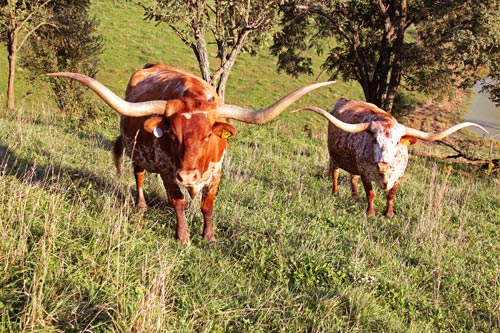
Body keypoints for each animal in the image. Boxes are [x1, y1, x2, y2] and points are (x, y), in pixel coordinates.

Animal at [48, 63, 334, 243]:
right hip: (136, 151)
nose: (187, 177)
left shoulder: (217, 172)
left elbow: (208, 205)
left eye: (208, 136)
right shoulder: (167, 171)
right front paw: (183, 236)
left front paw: (209, 236)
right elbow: (179, 202)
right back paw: (141, 205)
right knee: (139, 175)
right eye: (173, 134)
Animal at [294, 98, 486, 218]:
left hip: (353, 162)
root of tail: (344, 99)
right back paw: (335, 193)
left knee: (352, 177)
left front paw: (389, 214)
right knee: (334, 174)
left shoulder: (399, 175)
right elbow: (371, 193)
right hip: (334, 156)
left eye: (396, 142)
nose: (383, 165)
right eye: (375, 140)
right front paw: (371, 213)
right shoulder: (366, 173)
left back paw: (355, 195)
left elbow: (391, 194)